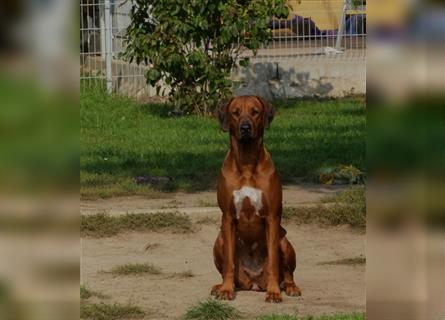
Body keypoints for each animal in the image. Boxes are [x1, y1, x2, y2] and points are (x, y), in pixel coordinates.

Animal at [212, 95, 302, 302]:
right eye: (235, 112)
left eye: (255, 112)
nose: (245, 127)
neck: (246, 162)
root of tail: (253, 283)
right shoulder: (227, 217)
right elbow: (229, 263)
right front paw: (226, 290)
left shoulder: (272, 218)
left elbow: (274, 263)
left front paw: (274, 292)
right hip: (219, 240)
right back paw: (220, 286)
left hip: (284, 241)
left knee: (288, 273)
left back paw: (290, 287)